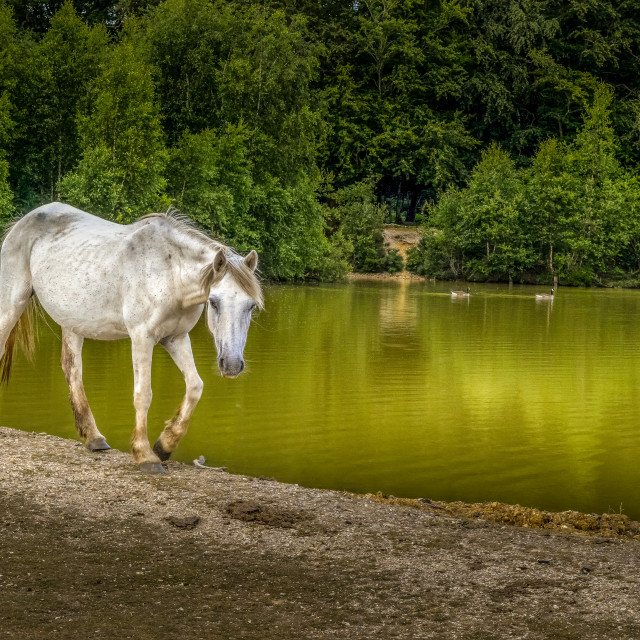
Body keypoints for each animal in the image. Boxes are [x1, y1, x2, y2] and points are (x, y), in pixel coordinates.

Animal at [0, 202, 262, 472]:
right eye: (214, 302)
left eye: (251, 306)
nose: (232, 365)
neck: (170, 273)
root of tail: (24, 221)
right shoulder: (142, 338)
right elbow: (143, 394)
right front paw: (145, 454)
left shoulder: (176, 338)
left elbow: (195, 386)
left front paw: (165, 445)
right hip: (12, 303)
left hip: (73, 322)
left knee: (72, 370)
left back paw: (94, 438)